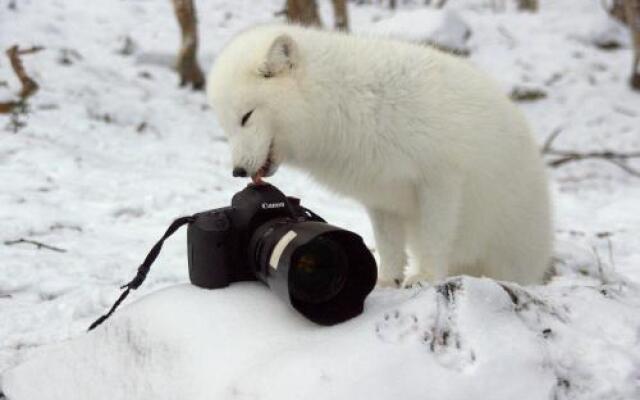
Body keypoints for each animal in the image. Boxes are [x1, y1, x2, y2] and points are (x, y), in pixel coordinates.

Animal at [208, 25, 552, 286]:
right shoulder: (381, 196)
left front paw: (426, 277)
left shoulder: (441, 180)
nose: (238, 172)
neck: (350, 104)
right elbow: (388, 248)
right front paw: (386, 282)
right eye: (226, 126)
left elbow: (434, 238)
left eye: (246, 117)